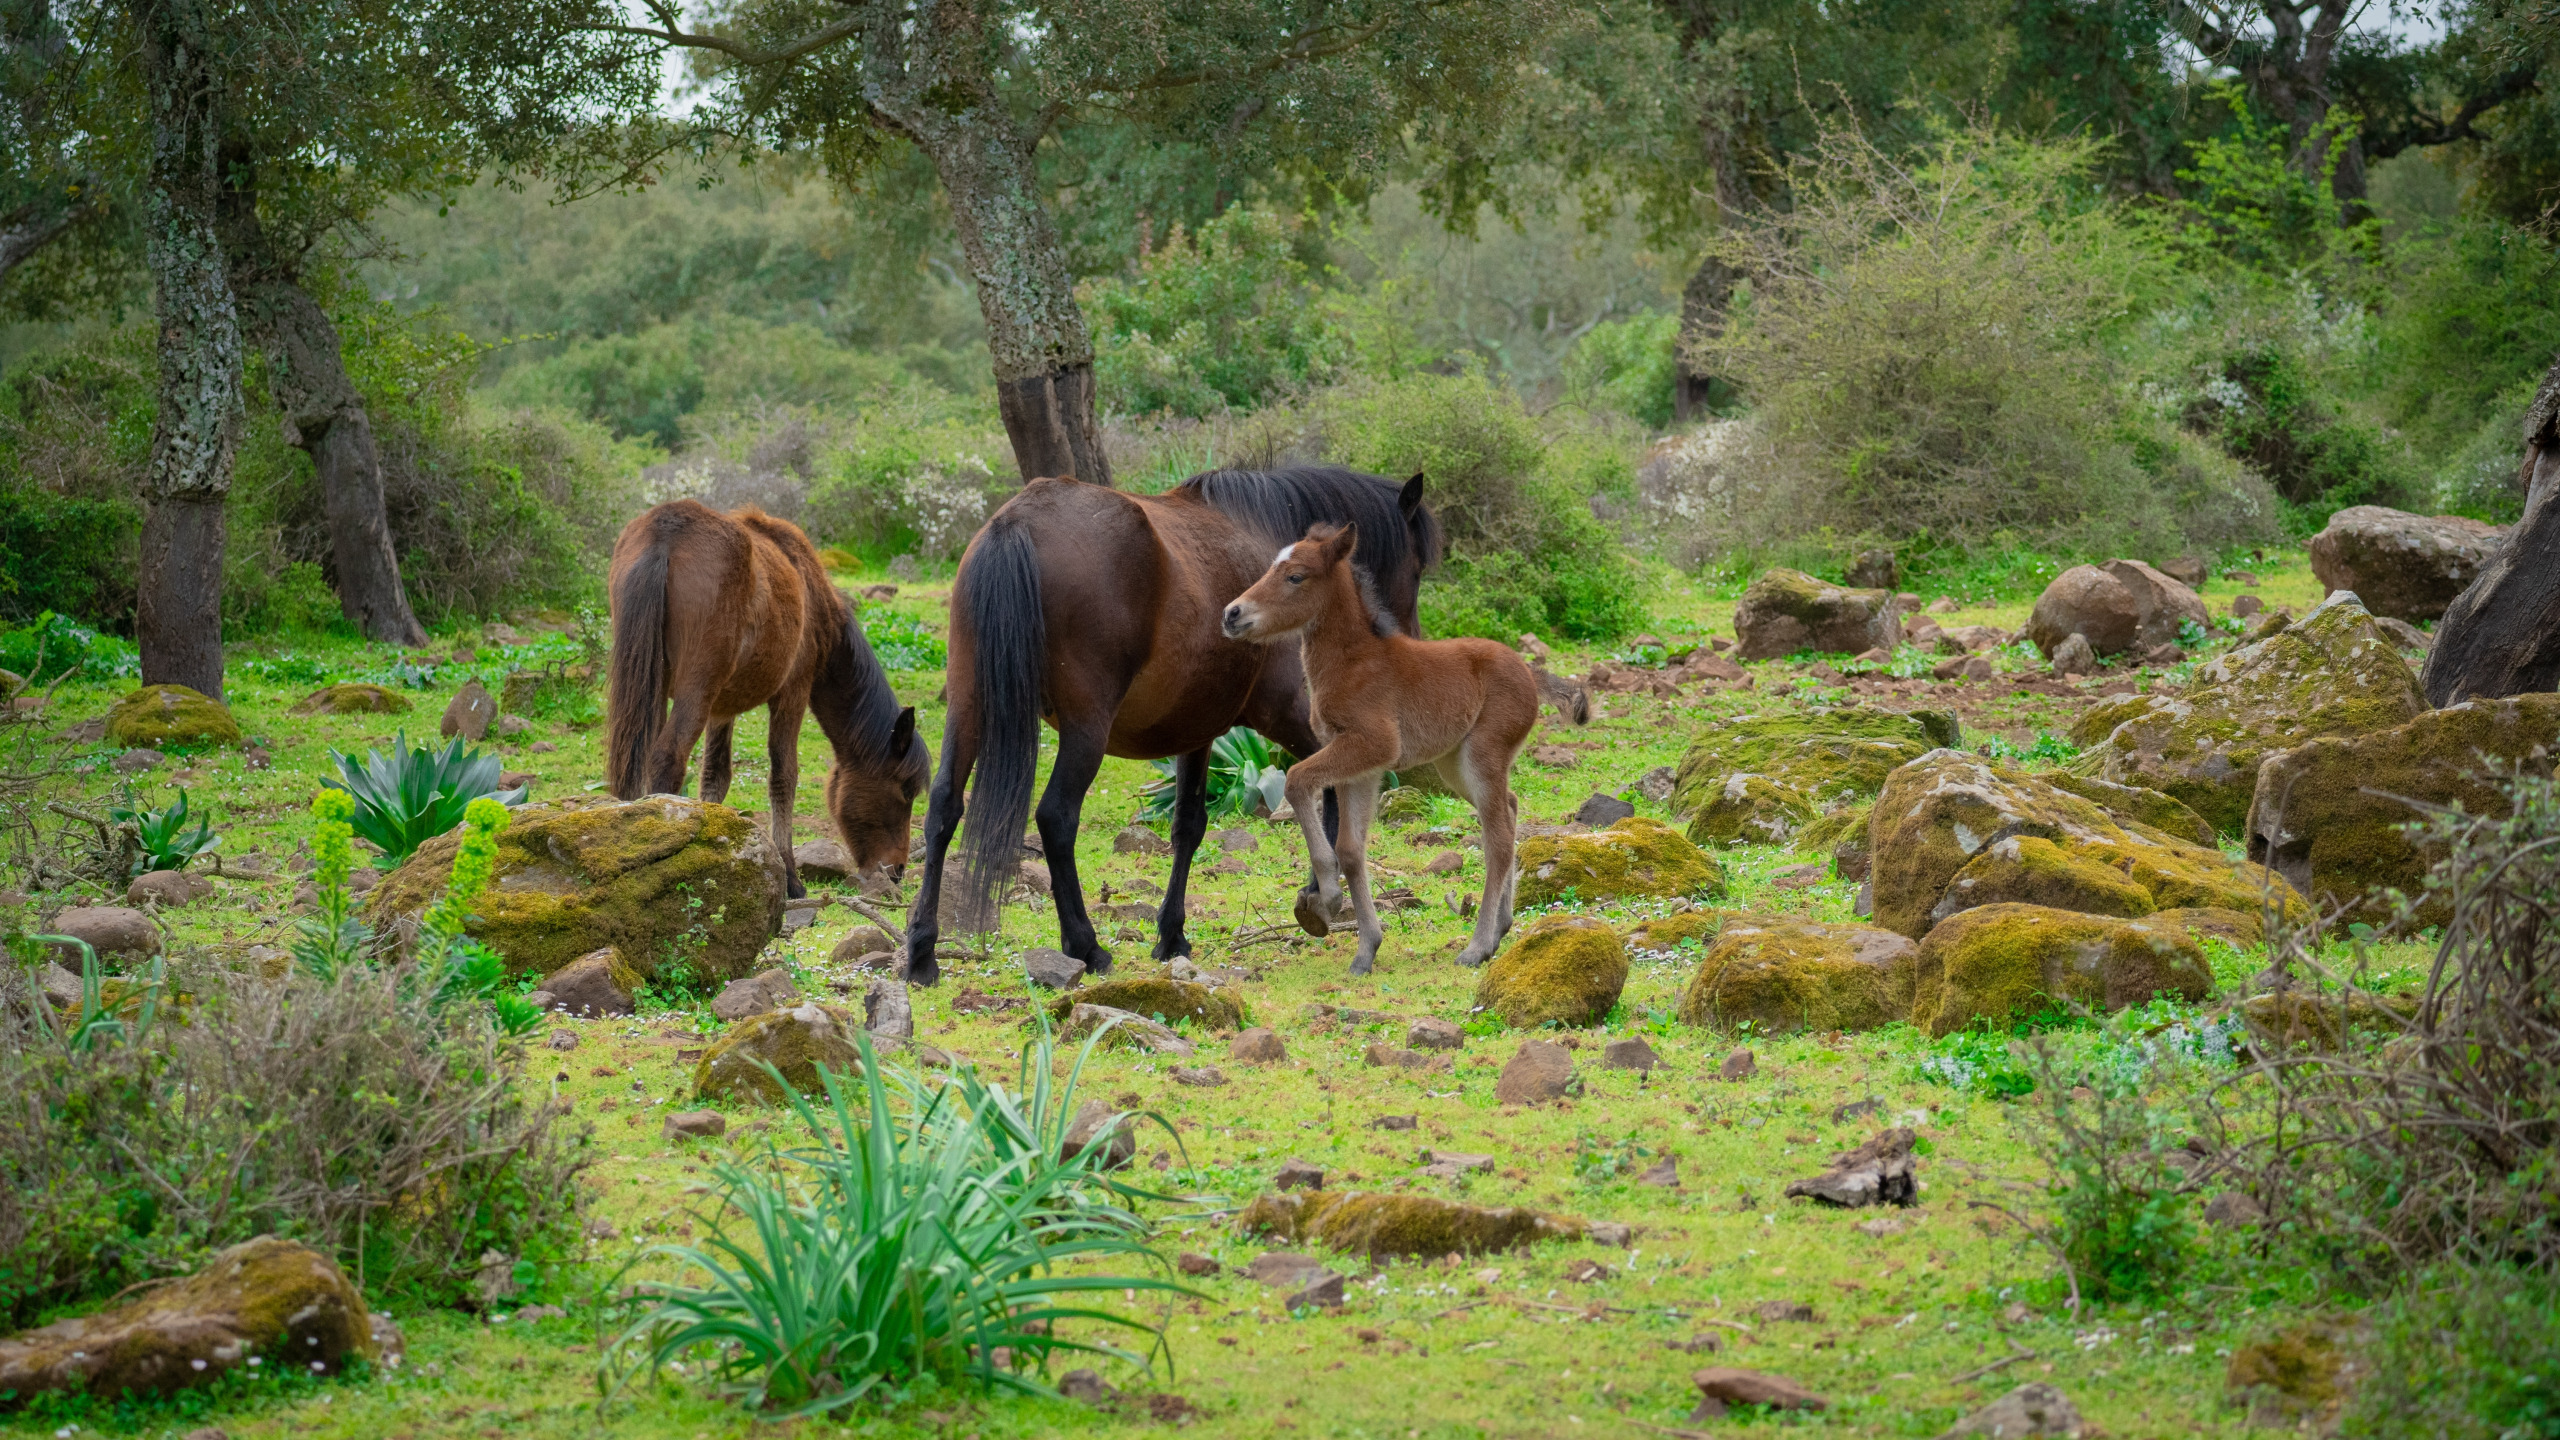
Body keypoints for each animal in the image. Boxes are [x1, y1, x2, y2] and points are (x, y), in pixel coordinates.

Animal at [604, 499, 936, 891]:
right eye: (905, 791)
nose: (897, 870)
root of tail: (667, 531)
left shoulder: (722, 708)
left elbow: (715, 777)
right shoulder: (793, 693)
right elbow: (783, 776)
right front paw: (790, 875)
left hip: (654, 688)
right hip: (695, 690)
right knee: (667, 756)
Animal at [906, 466, 1443, 978]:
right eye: (1417, 569)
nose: (1408, 643)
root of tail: (1019, 520)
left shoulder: (1197, 732)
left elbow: (1188, 825)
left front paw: (1172, 934)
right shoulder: (1286, 712)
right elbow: (1319, 787)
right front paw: (1318, 894)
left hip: (968, 707)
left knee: (943, 808)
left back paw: (922, 952)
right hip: (1086, 730)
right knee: (1056, 817)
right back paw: (1086, 945)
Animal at [1223, 520, 1556, 968]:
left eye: (1295, 576)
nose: (1232, 613)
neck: (1352, 662)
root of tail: (1529, 673)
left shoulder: (1373, 745)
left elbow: (1295, 780)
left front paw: (1327, 896)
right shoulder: (1361, 767)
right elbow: (1350, 849)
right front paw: (1366, 948)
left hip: (1482, 754)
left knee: (1498, 841)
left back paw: (1478, 946)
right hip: (1454, 764)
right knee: (1511, 805)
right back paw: (1501, 928)